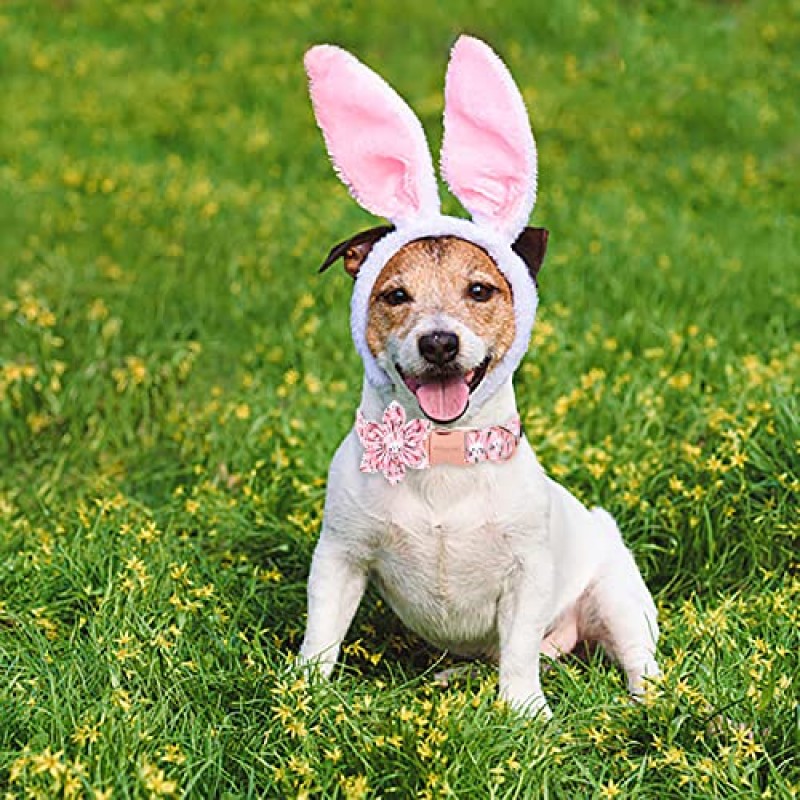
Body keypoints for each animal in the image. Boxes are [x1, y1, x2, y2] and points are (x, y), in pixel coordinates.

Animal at [296, 36, 660, 720]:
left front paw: (526, 713)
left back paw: (649, 703)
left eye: (480, 290)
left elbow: (517, 652)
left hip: (617, 595)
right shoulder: (340, 557)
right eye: (395, 296)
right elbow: (321, 635)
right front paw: (301, 696)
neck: (442, 454)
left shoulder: (527, 575)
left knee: (633, 659)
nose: (439, 341)